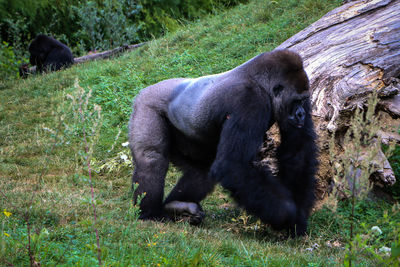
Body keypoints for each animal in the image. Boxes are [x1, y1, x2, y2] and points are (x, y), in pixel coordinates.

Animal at [130, 49, 318, 238]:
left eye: (303, 100)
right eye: (295, 101)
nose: (301, 114)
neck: (262, 84)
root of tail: (145, 89)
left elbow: (298, 150)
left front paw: (299, 216)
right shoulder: (249, 100)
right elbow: (234, 166)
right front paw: (290, 216)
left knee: (201, 171)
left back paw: (175, 206)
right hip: (146, 105)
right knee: (152, 158)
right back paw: (150, 214)